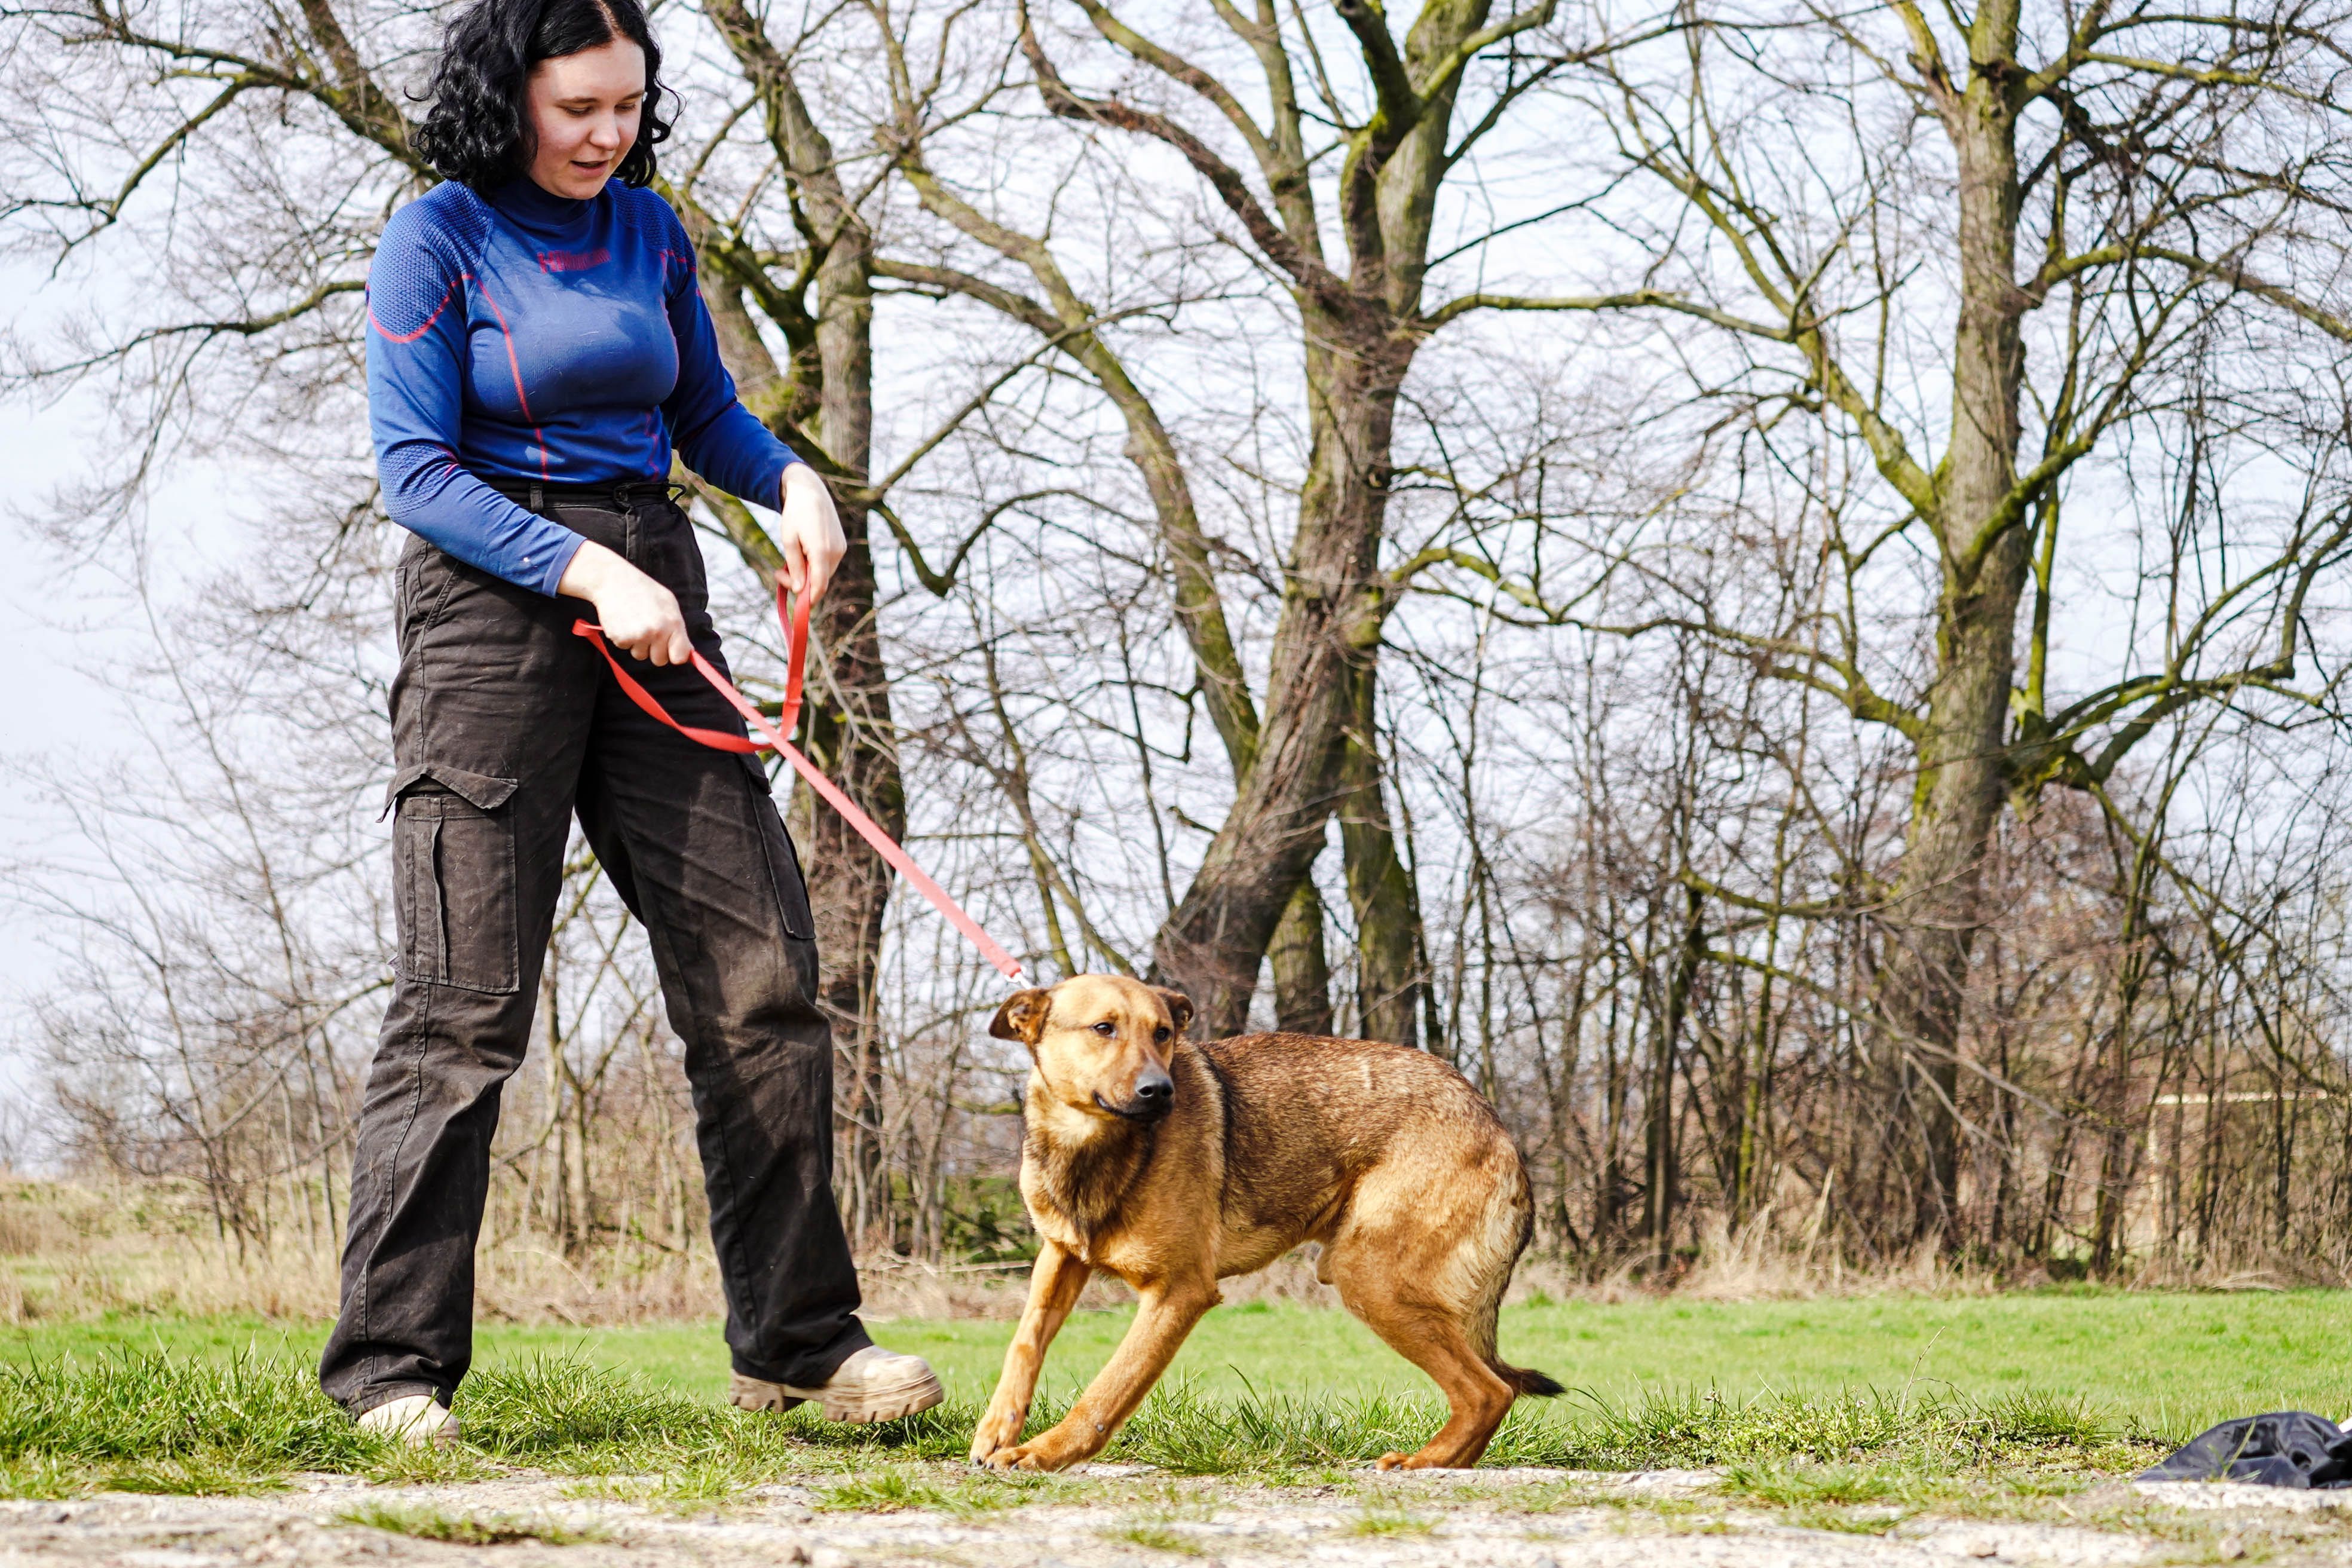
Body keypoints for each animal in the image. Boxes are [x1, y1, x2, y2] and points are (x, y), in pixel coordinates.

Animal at [973, 973, 1561, 1476]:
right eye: (1103, 1028)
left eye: (1163, 1033)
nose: (1160, 1091)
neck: (1091, 1147)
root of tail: (1499, 1130)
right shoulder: (1060, 1257)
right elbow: (1024, 1344)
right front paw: (997, 1431)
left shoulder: (1177, 1293)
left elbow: (1108, 1389)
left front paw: (1044, 1453)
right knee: (1489, 1391)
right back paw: (1448, 1460)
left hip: (1372, 1279)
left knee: (1488, 1391)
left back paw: (1425, 1461)